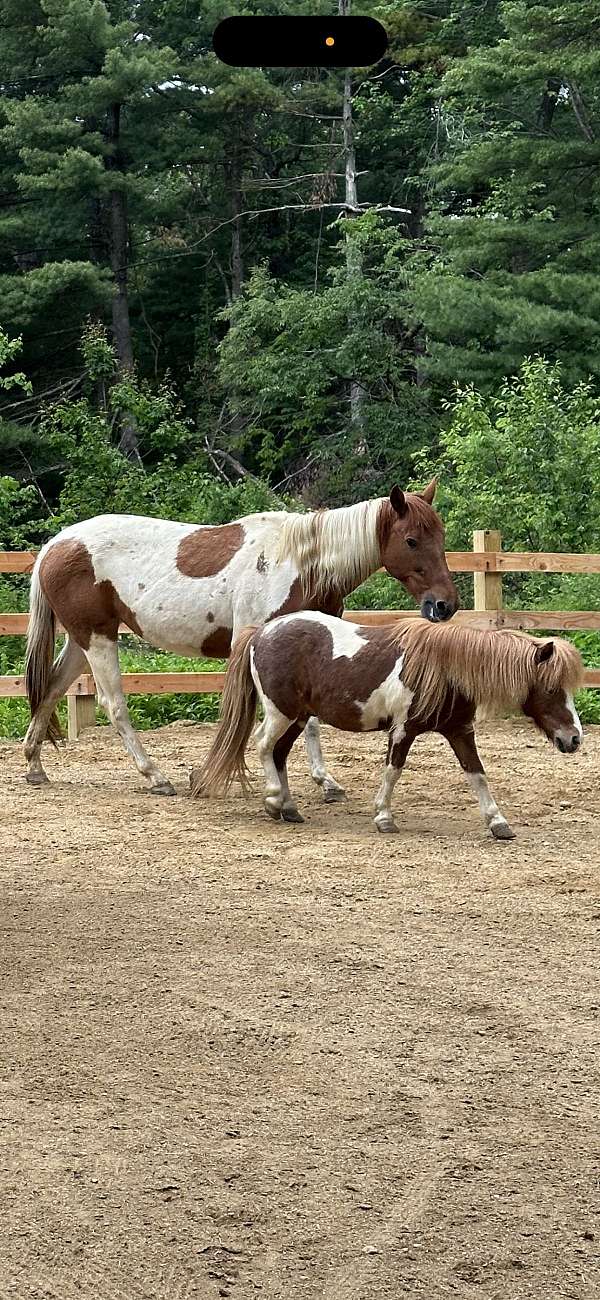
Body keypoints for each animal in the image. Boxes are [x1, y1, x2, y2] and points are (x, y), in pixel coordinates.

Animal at [21, 483, 457, 795]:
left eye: (441, 536)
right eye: (412, 540)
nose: (444, 605)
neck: (302, 563)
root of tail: (56, 544)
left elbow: (312, 720)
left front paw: (325, 781)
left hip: (83, 640)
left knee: (51, 689)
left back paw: (34, 765)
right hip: (98, 639)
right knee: (114, 705)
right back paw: (156, 776)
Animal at [190, 613, 581, 837]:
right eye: (551, 688)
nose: (574, 739)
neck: (445, 669)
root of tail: (261, 633)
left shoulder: (460, 731)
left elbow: (477, 774)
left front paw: (498, 823)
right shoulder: (403, 730)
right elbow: (393, 771)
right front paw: (383, 817)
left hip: (298, 717)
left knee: (280, 753)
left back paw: (289, 808)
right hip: (280, 712)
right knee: (263, 745)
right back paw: (273, 801)